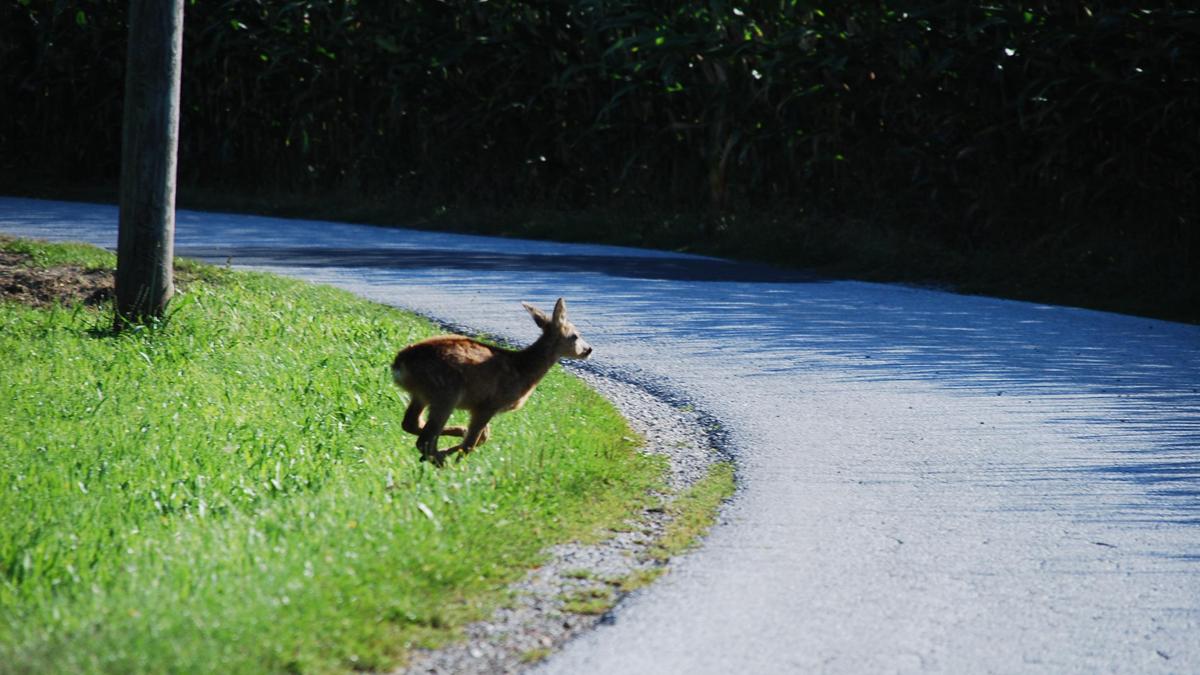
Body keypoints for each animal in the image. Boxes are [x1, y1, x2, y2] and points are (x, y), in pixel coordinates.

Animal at [391, 297, 592, 461]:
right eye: (575, 335)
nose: (589, 349)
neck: (522, 368)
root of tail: (400, 363)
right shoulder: (488, 405)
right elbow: (471, 444)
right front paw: (457, 464)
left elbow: (482, 437)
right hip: (446, 394)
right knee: (425, 439)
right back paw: (441, 459)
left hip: (422, 395)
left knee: (411, 424)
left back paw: (450, 441)